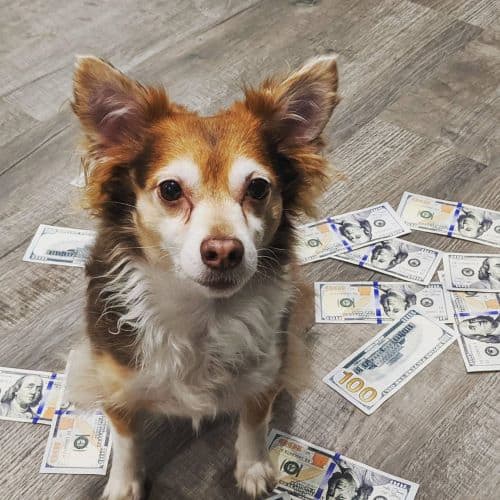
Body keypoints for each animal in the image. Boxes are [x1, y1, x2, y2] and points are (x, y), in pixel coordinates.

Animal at [68, 52, 338, 498]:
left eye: (259, 188)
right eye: (170, 190)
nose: (224, 251)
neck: (202, 313)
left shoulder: (266, 372)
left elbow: (254, 420)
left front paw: (253, 467)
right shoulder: (114, 381)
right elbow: (124, 439)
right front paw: (124, 483)